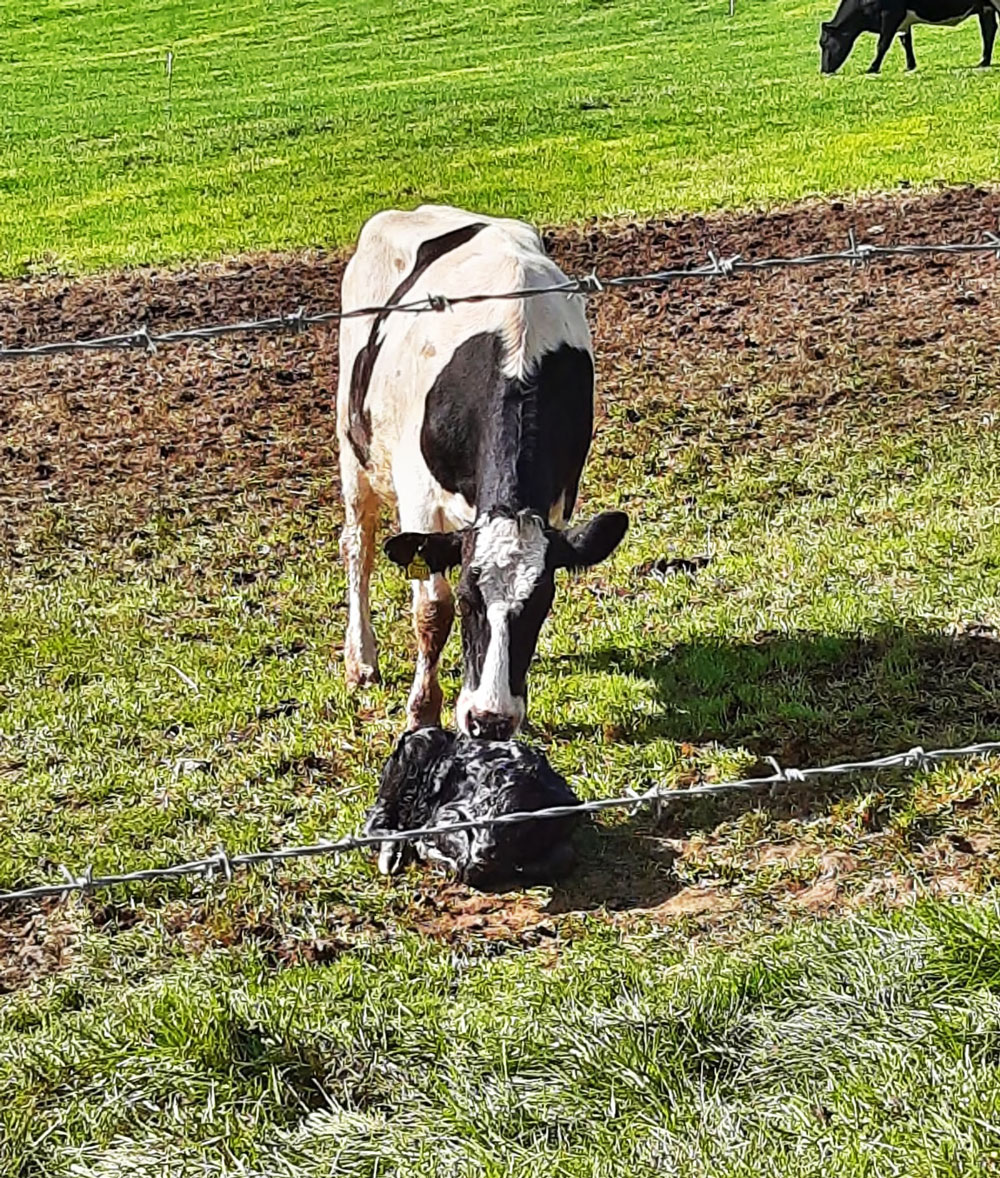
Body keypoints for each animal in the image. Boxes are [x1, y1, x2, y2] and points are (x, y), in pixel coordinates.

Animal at [336, 204, 628, 741]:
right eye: (470, 600)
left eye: (540, 604)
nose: (490, 720)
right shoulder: (419, 498)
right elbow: (432, 609)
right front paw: (422, 712)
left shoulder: (557, 500)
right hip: (355, 446)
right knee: (358, 548)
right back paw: (361, 659)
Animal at [820, 0, 1000, 73]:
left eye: (824, 43)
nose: (824, 70)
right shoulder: (902, 22)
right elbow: (906, 42)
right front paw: (910, 66)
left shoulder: (890, 15)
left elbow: (882, 44)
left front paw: (872, 68)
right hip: (985, 8)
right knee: (989, 30)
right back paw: (983, 62)